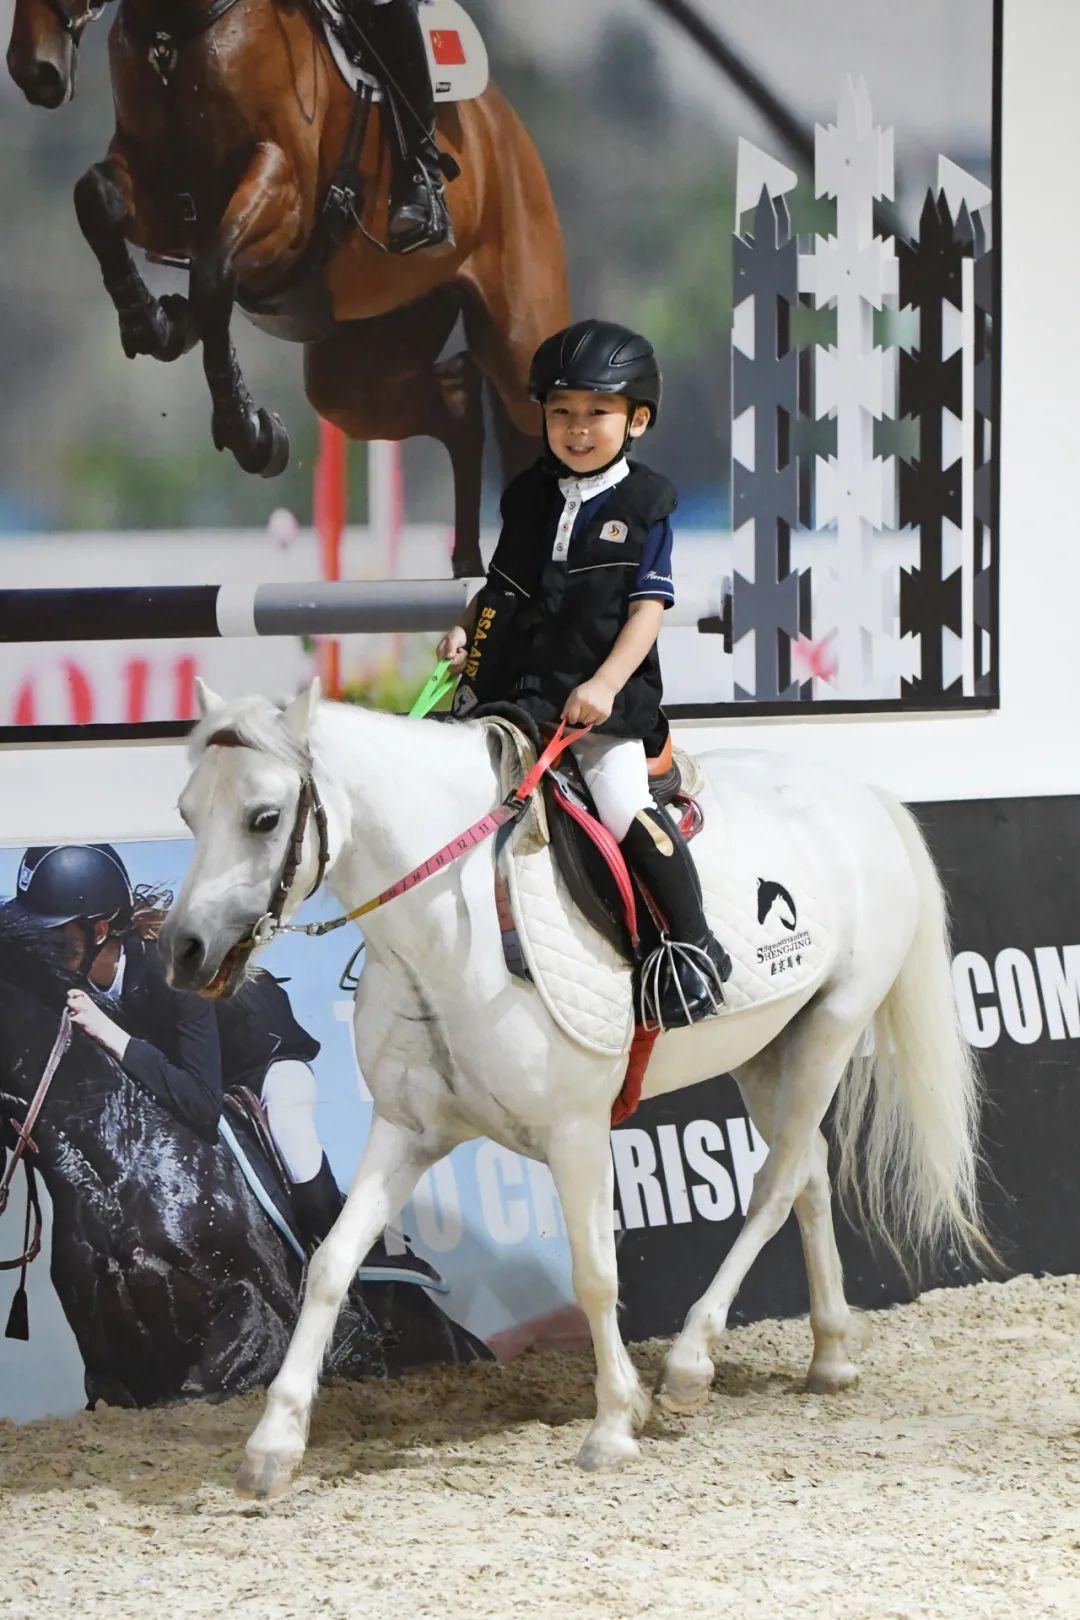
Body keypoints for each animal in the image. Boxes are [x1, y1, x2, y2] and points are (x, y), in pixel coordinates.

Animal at [8, 0, 569, 579]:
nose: (37, 69)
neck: (173, 38)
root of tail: (504, 125)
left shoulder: (283, 193)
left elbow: (212, 278)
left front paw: (247, 431)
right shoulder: (160, 194)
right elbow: (95, 198)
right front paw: (155, 323)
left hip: (518, 335)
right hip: (360, 368)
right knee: (457, 402)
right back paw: (468, 564)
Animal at [158, 677, 990, 1496]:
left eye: (265, 818)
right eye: (187, 811)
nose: (186, 953)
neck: (452, 929)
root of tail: (861, 794)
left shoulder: (578, 1131)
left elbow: (594, 1275)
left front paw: (616, 1423)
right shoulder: (407, 1130)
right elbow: (331, 1263)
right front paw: (274, 1444)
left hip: (832, 1027)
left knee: (777, 1185)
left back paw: (690, 1362)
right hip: (767, 1051)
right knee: (810, 1171)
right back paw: (830, 1355)